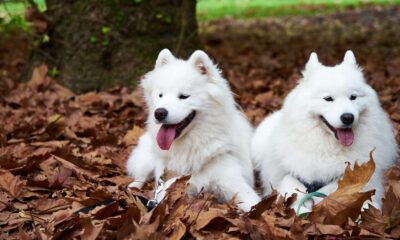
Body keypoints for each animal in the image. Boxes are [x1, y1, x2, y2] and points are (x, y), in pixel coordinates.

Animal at [126, 48, 260, 212]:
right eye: (160, 95)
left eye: (184, 96)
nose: (159, 113)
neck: (193, 143)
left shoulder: (233, 183)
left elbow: (253, 204)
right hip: (146, 161)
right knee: (140, 176)